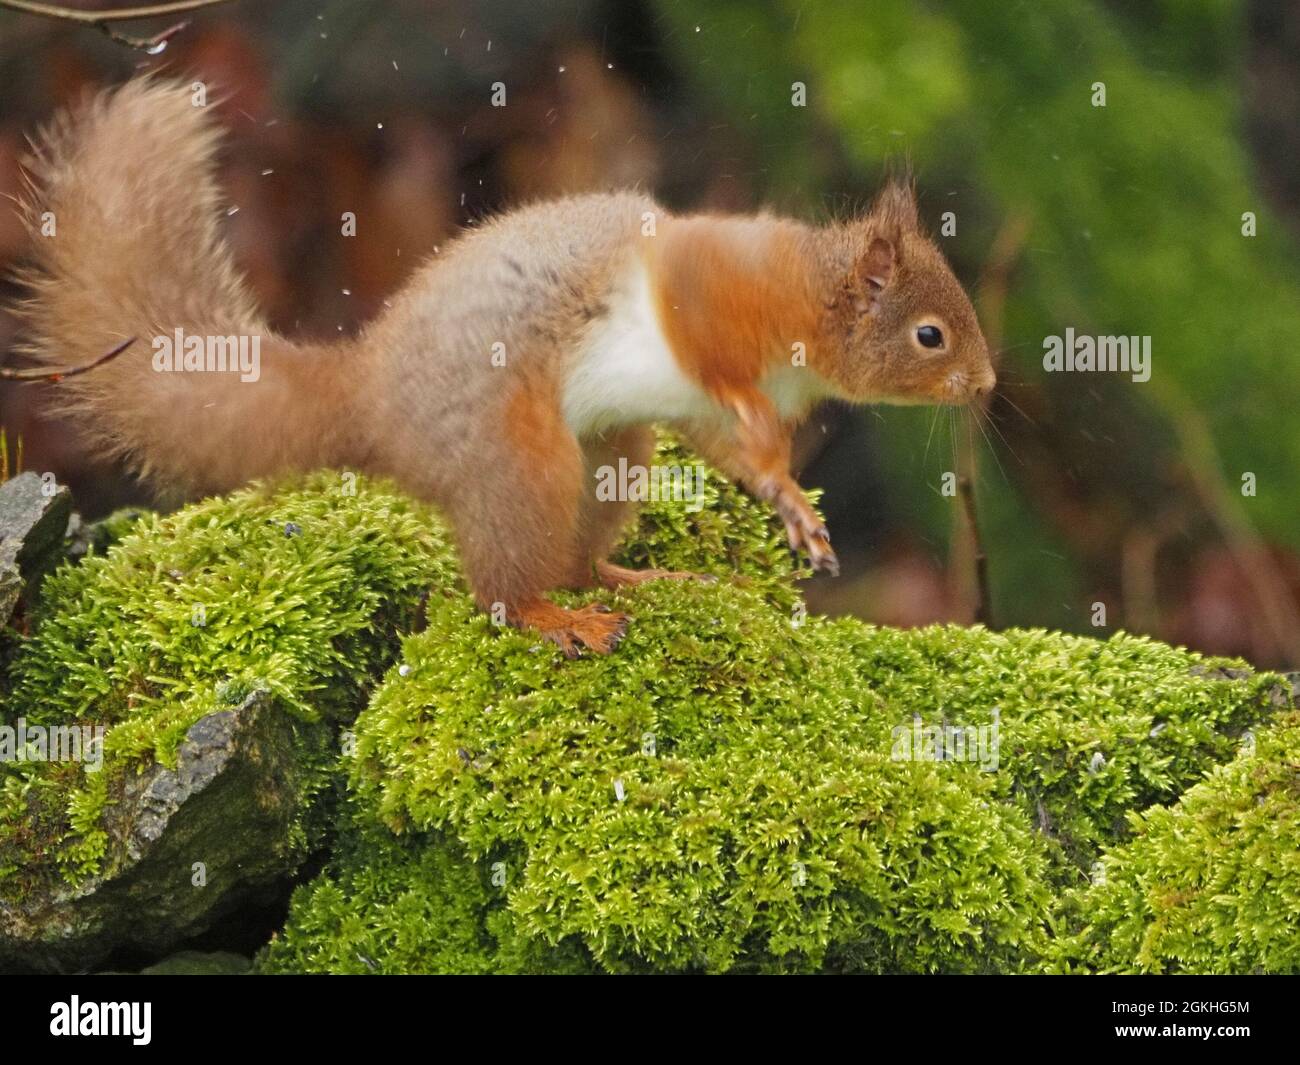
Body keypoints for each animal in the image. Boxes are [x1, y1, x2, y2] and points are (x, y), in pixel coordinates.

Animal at [2, 78, 993, 652]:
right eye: (931, 336)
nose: (985, 387)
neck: (813, 304)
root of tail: (367, 394)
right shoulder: (715, 281)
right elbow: (704, 342)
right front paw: (763, 436)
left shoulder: (698, 402)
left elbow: (736, 450)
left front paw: (790, 501)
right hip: (521, 457)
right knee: (503, 593)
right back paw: (561, 620)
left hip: (613, 454)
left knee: (579, 556)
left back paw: (634, 580)